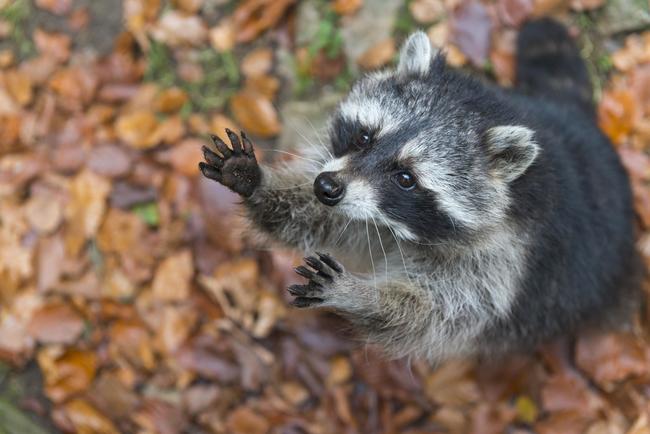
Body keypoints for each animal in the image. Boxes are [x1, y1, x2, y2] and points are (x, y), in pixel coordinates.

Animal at [201, 18, 636, 362]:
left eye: (406, 178)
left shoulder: (506, 258)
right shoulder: (365, 212)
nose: (326, 187)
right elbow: (325, 221)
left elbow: (434, 313)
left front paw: (361, 296)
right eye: (363, 136)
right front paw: (257, 184)